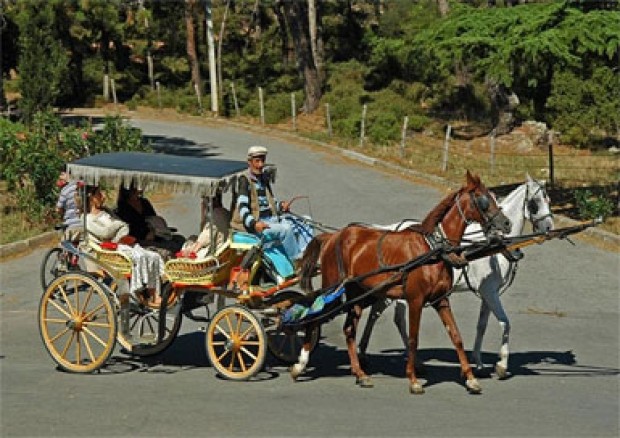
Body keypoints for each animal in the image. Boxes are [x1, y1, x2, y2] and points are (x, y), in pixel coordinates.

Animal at [294, 171, 512, 394]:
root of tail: (333, 236)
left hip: (356, 293)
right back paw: (300, 364)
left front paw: (470, 378)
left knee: (349, 329)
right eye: (483, 199)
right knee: (314, 317)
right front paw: (413, 379)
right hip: (332, 289)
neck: (432, 249)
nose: (506, 223)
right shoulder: (416, 300)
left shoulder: (440, 300)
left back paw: (360, 373)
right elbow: (413, 339)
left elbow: (456, 336)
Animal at [356, 175, 556, 380]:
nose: (549, 227)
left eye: (549, 200)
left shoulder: (488, 293)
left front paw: (478, 362)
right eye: (535, 203)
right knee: (397, 318)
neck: (494, 246)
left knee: (376, 312)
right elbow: (505, 323)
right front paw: (501, 366)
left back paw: (363, 353)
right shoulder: (489, 292)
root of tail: (391, 229)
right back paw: (414, 362)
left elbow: (482, 325)